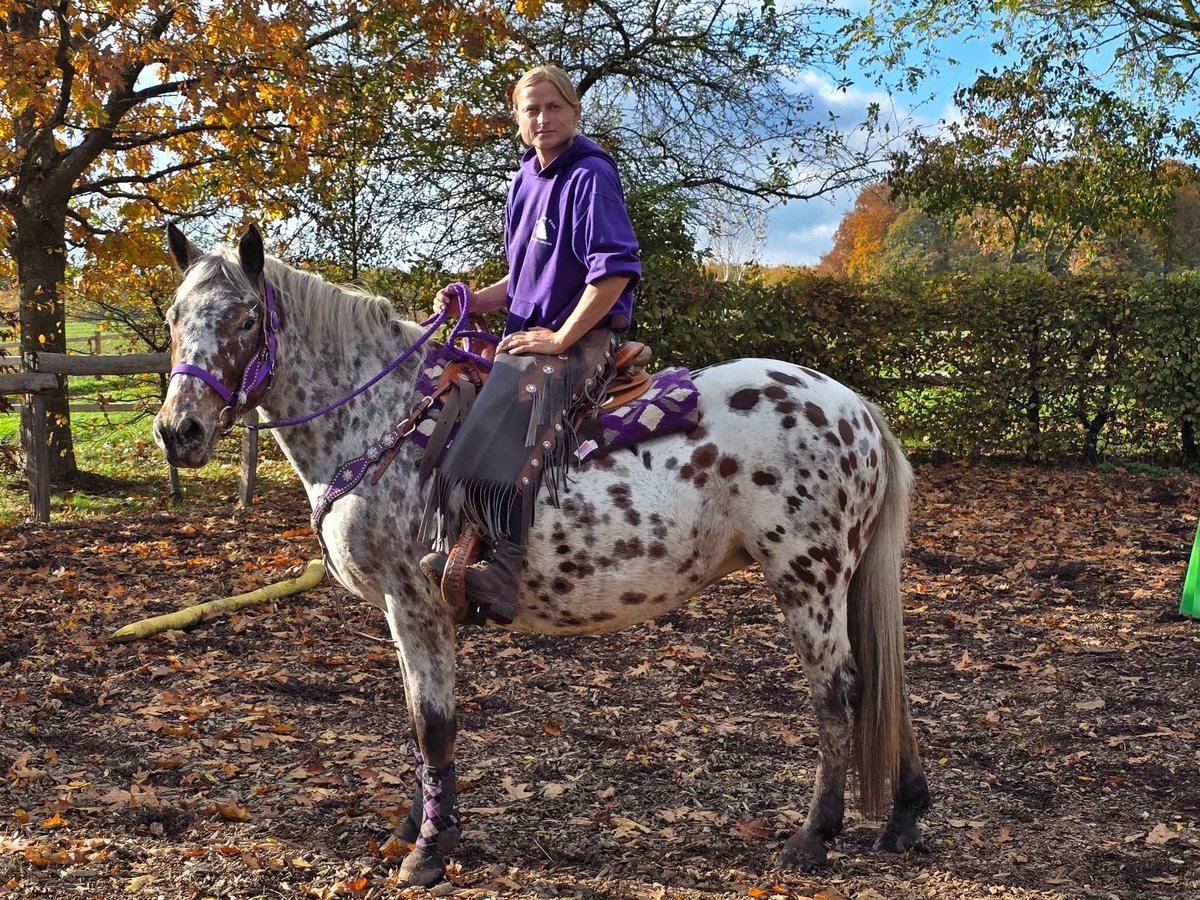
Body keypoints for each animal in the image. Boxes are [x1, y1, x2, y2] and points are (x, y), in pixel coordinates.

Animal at [154, 225, 931, 888]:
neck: (383, 423)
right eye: (172, 316)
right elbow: (418, 716)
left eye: (245, 321)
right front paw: (416, 826)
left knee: (838, 691)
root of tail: (857, 409)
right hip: (842, 581)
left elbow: (433, 722)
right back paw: (904, 816)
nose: (178, 431)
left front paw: (430, 849)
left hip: (807, 581)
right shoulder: (402, 613)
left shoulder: (416, 601)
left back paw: (814, 836)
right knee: (885, 681)